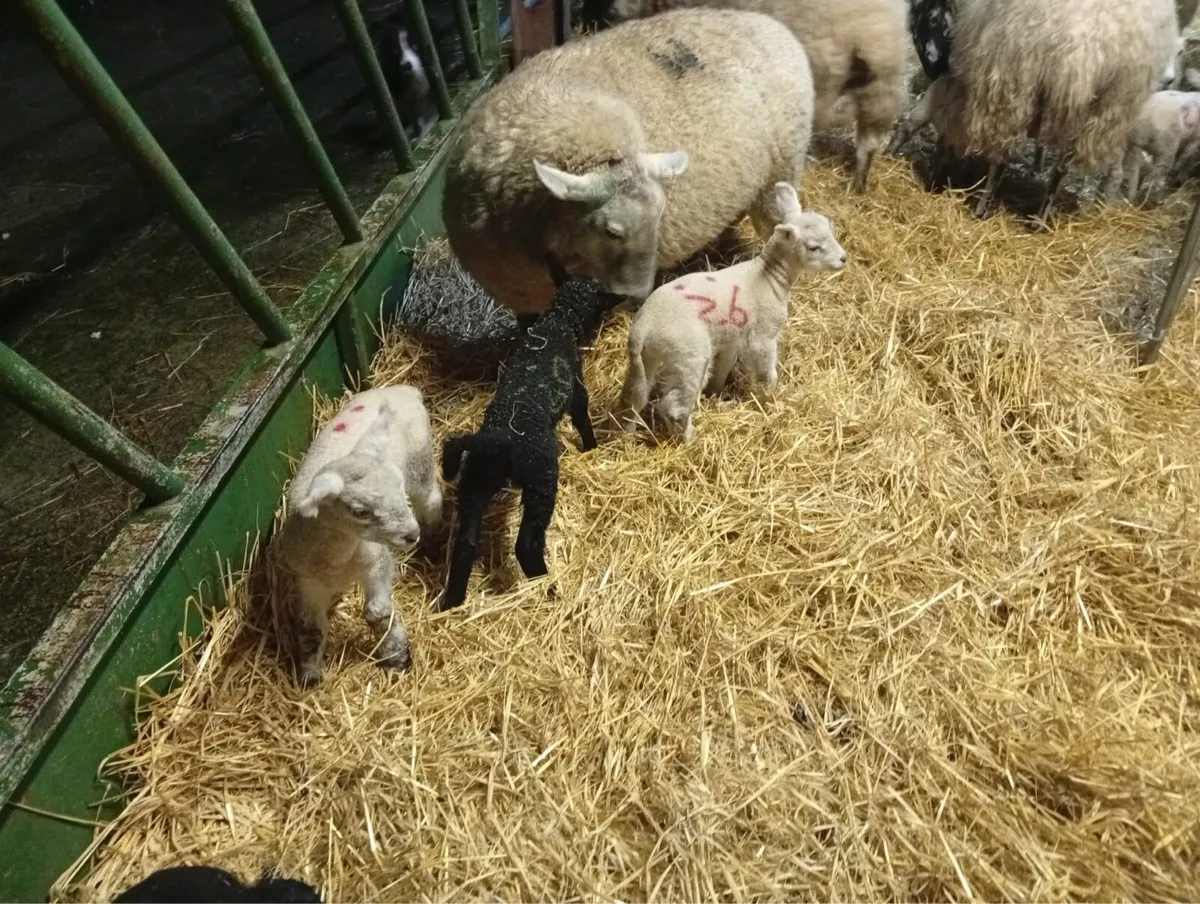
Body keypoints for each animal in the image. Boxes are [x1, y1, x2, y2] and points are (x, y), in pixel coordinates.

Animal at [272, 385, 443, 686]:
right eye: (360, 511)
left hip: (420, 461)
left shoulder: (377, 562)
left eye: (398, 486)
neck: (337, 560)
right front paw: (310, 675)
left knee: (431, 498)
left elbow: (377, 612)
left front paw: (396, 655)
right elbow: (309, 627)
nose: (411, 535)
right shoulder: (308, 580)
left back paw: (432, 542)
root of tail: (404, 389)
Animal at [439, 256, 621, 611]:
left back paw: (453, 600)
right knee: (526, 545)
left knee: (466, 543)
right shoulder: (576, 387)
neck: (556, 323)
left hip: (475, 480)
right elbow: (582, 417)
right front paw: (592, 447)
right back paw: (547, 585)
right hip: (541, 479)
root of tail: (495, 440)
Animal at [442, 7, 816, 316]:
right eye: (611, 231)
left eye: (659, 218)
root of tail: (768, 22)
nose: (637, 295)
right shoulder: (521, 293)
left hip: (780, 172)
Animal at [618, 183, 846, 441]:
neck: (769, 275)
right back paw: (690, 438)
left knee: (635, 396)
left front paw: (717, 392)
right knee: (675, 406)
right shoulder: (763, 336)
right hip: (689, 356)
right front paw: (767, 402)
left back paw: (628, 434)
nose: (843, 259)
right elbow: (767, 374)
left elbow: (724, 365)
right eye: (813, 247)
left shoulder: (733, 335)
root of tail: (642, 328)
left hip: (647, 357)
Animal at [895, 0, 1178, 221]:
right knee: (1061, 167)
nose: (935, 66)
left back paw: (981, 207)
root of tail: (1091, 44)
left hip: (1016, 77)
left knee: (1002, 152)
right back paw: (1040, 219)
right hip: (1107, 107)